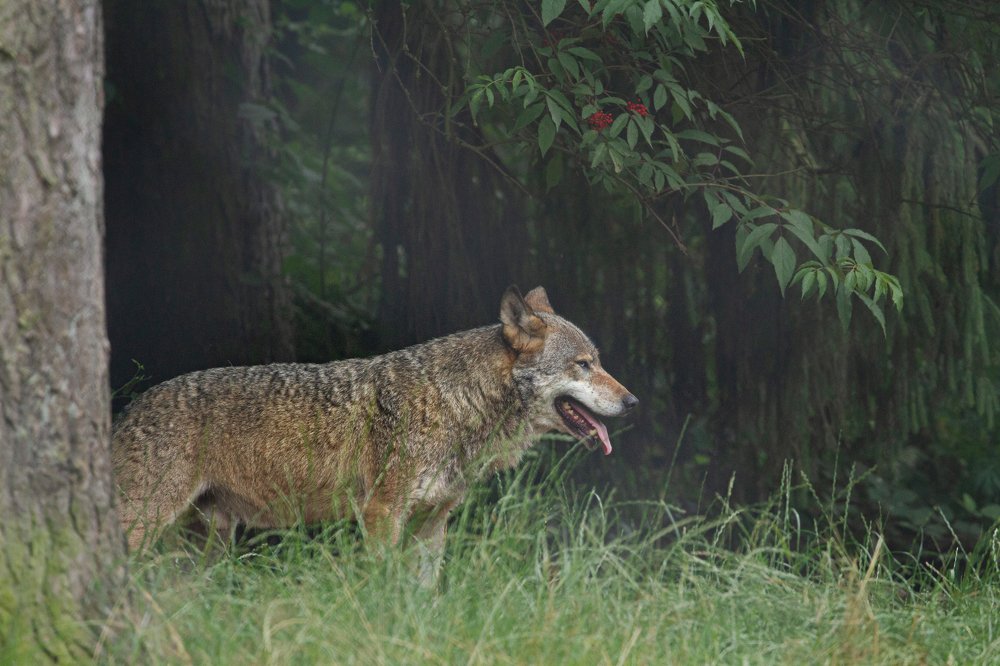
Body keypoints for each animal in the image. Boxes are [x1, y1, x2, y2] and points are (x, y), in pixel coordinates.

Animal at [112, 286, 637, 568]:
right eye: (584, 365)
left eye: (598, 361)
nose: (633, 402)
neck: (455, 402)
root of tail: (130, 407)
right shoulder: (382, 514)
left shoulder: (432, 524)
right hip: (146, 528)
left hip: (205, 545)